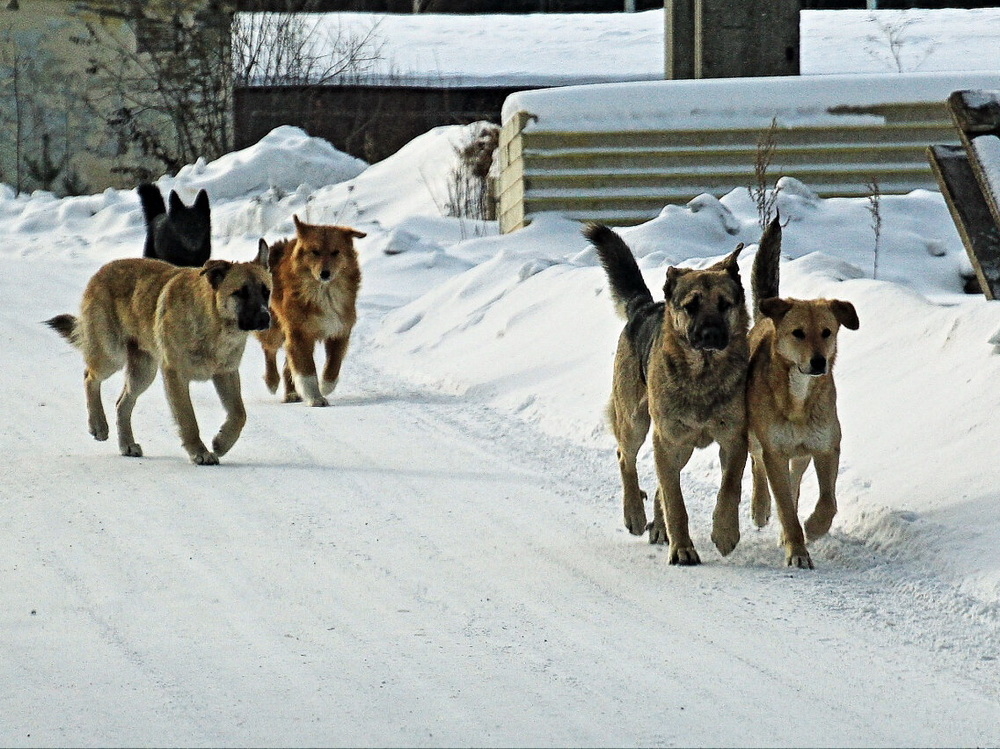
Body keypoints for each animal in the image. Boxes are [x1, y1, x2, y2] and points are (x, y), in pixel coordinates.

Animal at [47, 245, 270, 464]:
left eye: (266, 292)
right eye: (240, 293)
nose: (265, 318)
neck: (213, 320)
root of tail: (101, 272)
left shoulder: (226, 374)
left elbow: (239, 413)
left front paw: (222, 443)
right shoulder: (176, 375)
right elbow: (188, 419)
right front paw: (200, 452)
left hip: (143, 373)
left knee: (122, 403)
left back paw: (127, 444)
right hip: (111, 356)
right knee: (90, 377)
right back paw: (98, 425)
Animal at [256, 213, 366, 406]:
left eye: (336, 252)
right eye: (315, 251)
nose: (325, 273)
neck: (324, 291)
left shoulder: (340, 329)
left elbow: (334, 363)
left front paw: (326, 386)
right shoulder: (299, 332)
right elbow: (306, 369)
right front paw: (315, 397)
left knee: (287, 364)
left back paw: (292, 393)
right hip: (274, 328)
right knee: (269, 350)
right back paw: (272, 381)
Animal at [584, 225, 752, 564]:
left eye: (725, 304)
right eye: (691, 306)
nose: (711, 335)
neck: (703, 375)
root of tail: (645, 307)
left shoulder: (733, 439)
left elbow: (729, 487)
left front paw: (725, 533)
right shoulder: (667, 439)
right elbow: (676, 501)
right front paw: (683, 548)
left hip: (680, 445)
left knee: (661, 481)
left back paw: (659, 527)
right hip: (637, 423)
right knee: (626, 458)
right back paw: (635, 514)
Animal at [752, 216, 860, 568]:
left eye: (827, 332)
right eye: (798, 333)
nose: (818, 362)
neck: (799, 397)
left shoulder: (826, 447)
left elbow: (828, 500)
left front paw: (813, 527)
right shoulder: (773, 451)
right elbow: (784, 505)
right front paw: (797, 550)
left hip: (801, 454)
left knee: (795, 481)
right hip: (756, 440)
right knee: (759, 470)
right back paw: (760, 509)